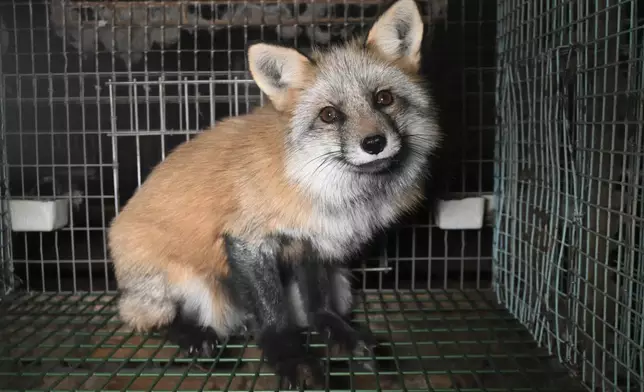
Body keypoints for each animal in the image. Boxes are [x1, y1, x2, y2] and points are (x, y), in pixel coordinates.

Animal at [109, 0, 442, 388]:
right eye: (330, 115)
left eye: (384, 98)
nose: (374, 143)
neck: (319, 188)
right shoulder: (247, 240)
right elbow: (271, 312)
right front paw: (288, 356)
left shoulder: (315, 243)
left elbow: (318, 304)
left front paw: (337, 333)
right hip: (191, 285)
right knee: (149, 318)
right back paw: (191, 334)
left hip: (342, 280)